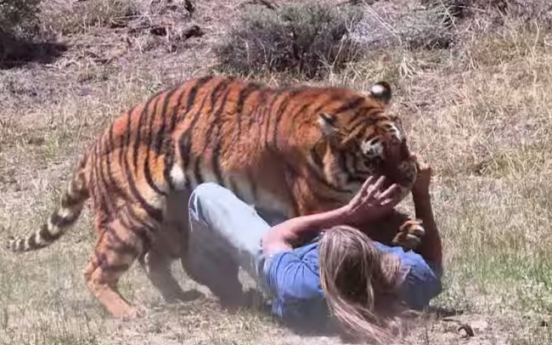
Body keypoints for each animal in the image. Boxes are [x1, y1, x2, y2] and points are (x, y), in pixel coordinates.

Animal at [5, 76, 422, 320]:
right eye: (374, 157)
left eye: (400, 144)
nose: (409, 175)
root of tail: (93, 146)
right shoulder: (320, 203)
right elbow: (362, 219)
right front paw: (401, 227)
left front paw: (408, 229)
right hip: (132, 215)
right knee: (96, 269)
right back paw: (126, 313)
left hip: (171, 220)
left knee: (153, 261)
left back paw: (181, 297)